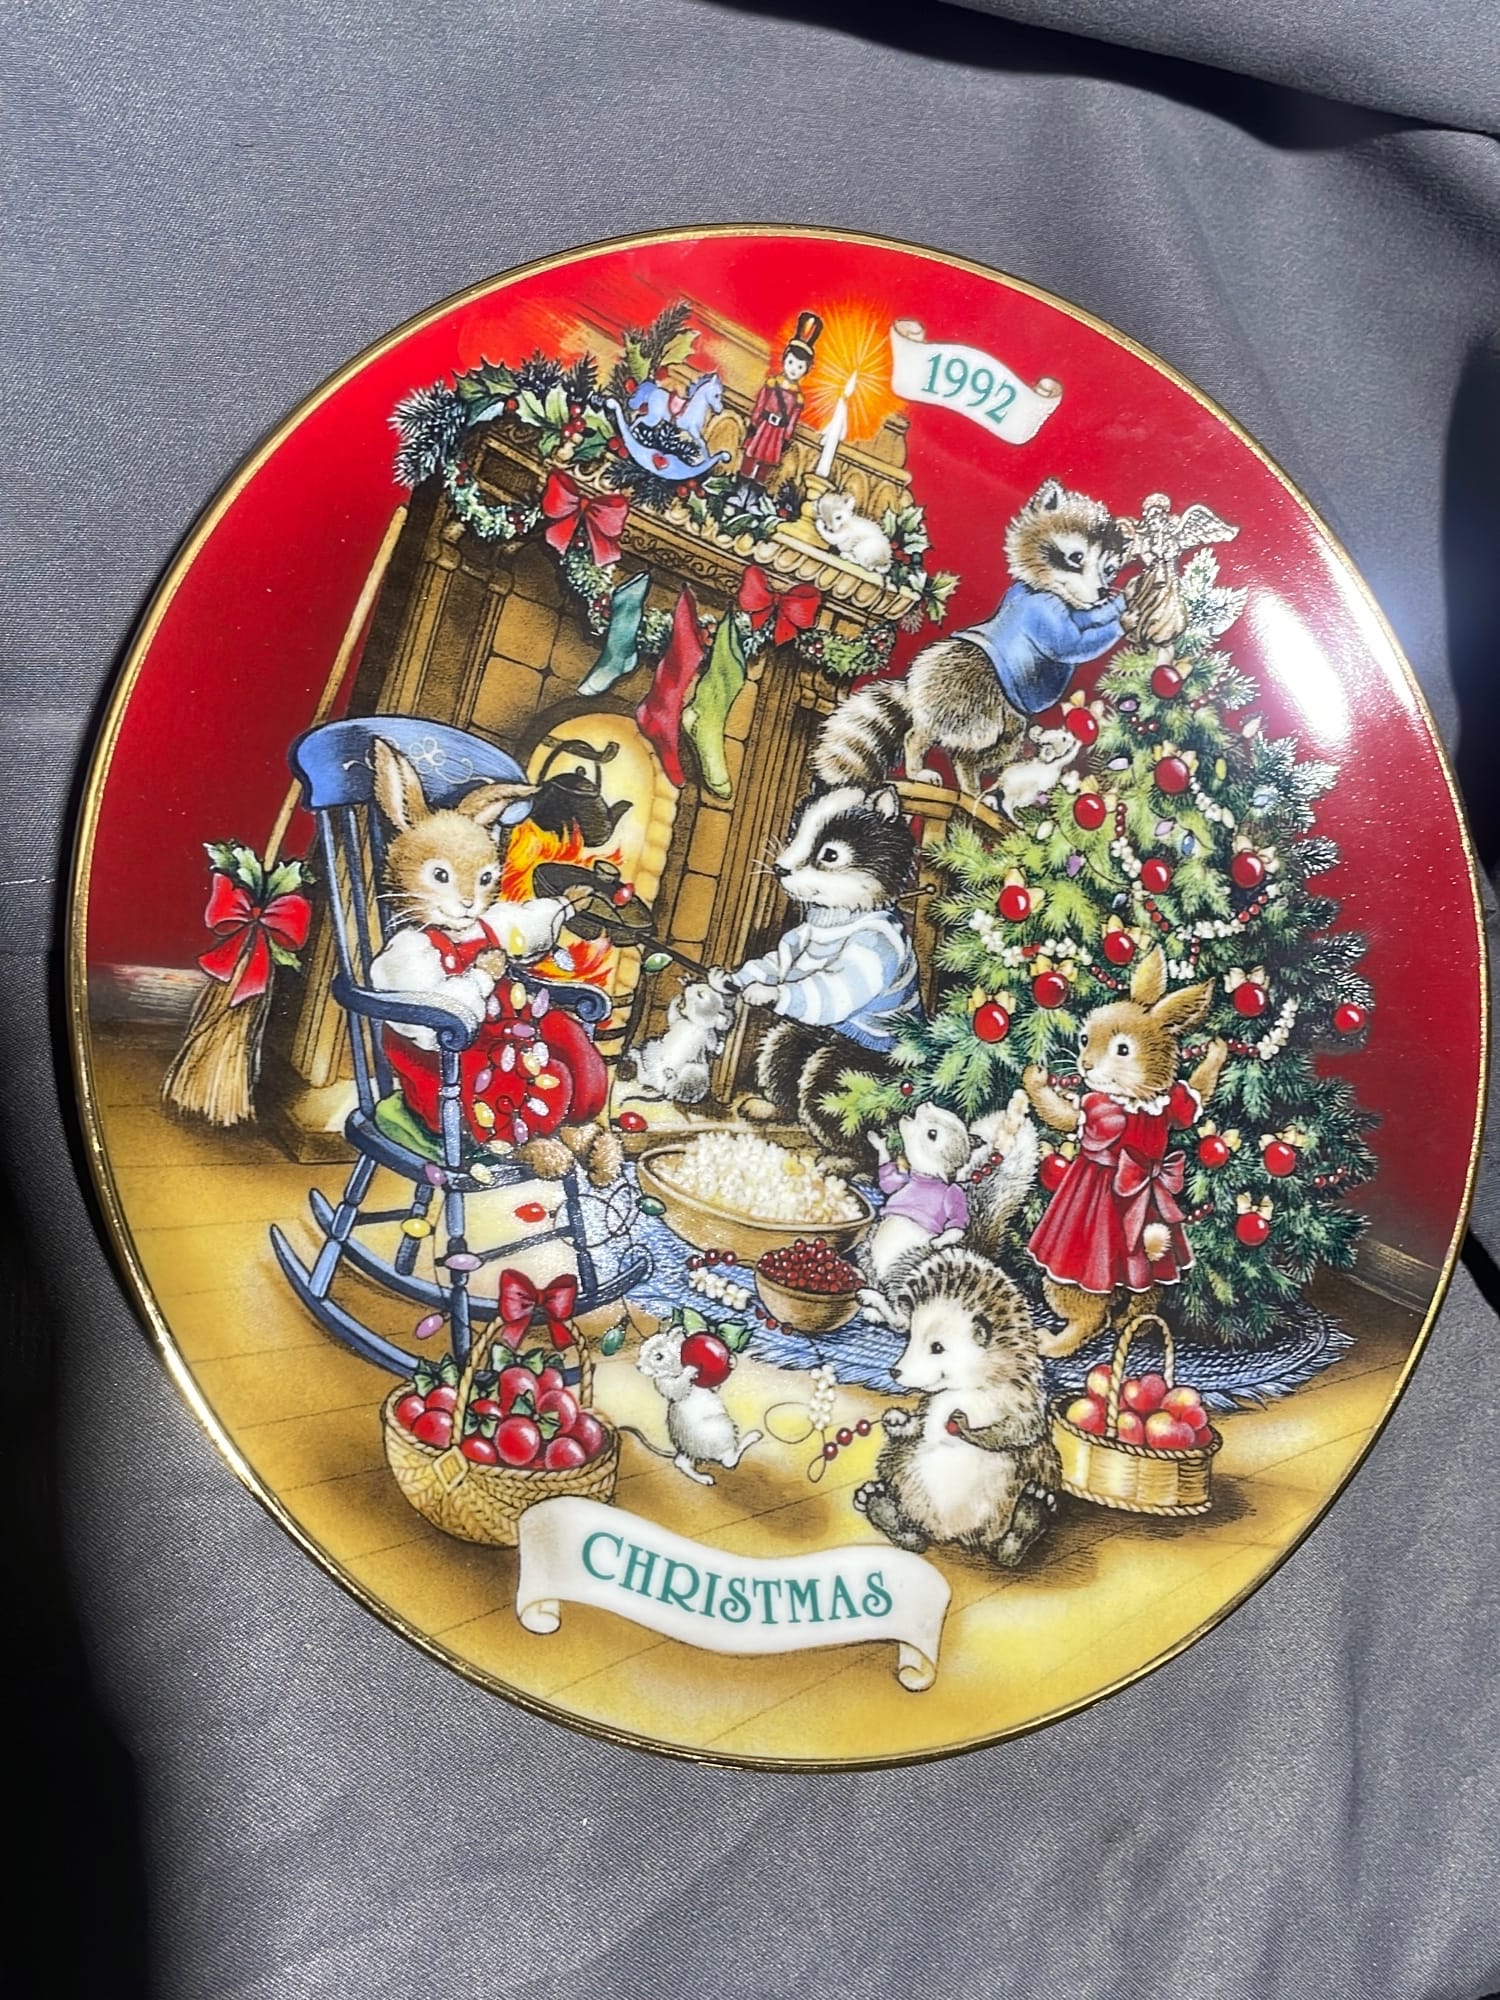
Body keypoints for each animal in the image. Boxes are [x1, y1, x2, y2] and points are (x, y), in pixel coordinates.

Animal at [367, 739, 621, 1185]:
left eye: (487, 878)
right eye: (440, 875)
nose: (469, 904)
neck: (458, 935)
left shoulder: (503, 923)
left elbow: (535, 918)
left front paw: (577, 897)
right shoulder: (403, 962)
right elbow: (428, 997)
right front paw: (489, 964)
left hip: (573, 1053)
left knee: (581, 1067)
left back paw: (599, 1153)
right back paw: (548, 1154)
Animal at [1022, 945, 1229, 1356]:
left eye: (1122, 1050)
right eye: (1084, 1038)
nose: (1085, 1066)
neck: (1139, 1095)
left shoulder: (1098, 1113)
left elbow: (1065, 1116)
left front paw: (1032, 1079)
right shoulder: (1175, 1103)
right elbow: (1195, 1093)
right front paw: (1218, 1051)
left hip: (1066, 1282)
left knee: (1090, 1318)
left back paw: (1052, 1344)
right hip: (1154, 1277)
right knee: (1141, 1303)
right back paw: (1132, 1327)